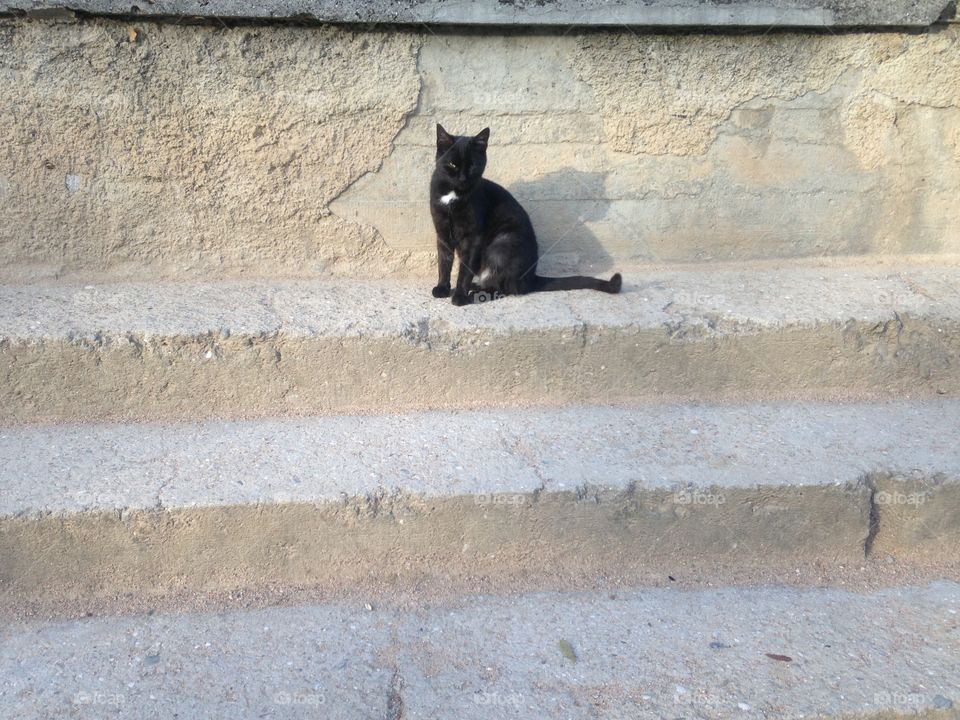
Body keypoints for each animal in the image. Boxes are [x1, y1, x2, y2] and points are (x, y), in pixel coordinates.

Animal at [428, 124, 624, 304]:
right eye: (452, 164)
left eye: (472, 166)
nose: (462, 178)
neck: (453, 194)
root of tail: (531, 278)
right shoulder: (442, 232)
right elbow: (444, 262)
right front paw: (442, 288)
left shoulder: (473, 238)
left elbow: (465, 270)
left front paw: (459, 296)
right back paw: (476, 286)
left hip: (502, 244)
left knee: (507, 288)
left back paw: (478, 292)